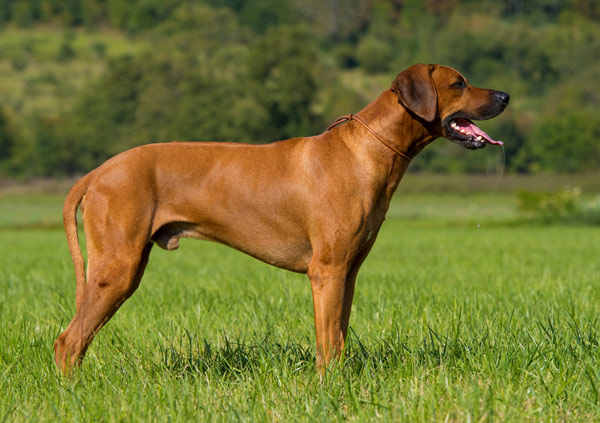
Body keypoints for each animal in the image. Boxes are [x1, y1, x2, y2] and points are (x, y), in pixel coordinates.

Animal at [54, 63, 508, 374]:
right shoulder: (326, 271)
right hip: (118, 267)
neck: (366, 150)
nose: (505, 96)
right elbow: (327, 341)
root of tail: (99, 171)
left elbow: (339, 335)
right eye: (458, 83)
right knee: (67, 342)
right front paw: (329, 388)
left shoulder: (348, 272)